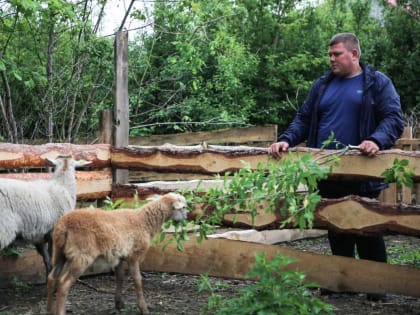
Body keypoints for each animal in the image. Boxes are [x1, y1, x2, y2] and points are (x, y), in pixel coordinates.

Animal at [46, 193, 189, 315]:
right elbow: (138, 280)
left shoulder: (119, 256)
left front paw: (119, 304)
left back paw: (49, 310)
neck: (145, 220)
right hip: (81, 256)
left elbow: (120, 278)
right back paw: (60, 311)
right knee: (63, 283)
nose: (186, 218)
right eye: (183, 207)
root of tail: (64, 225)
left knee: (52, 278)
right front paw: (143, 308)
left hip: (59, 253)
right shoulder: (134, 255)